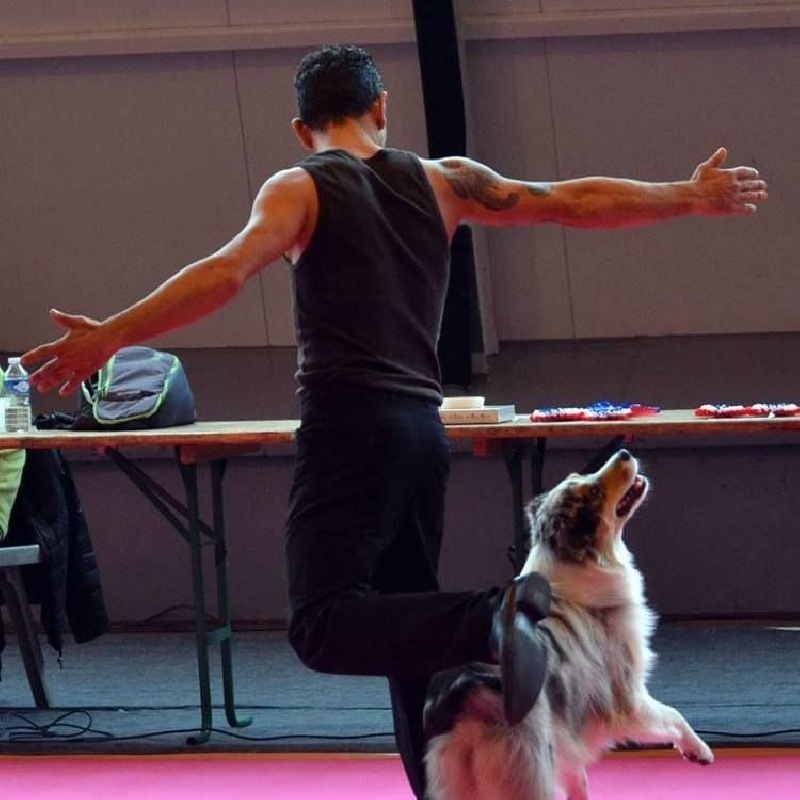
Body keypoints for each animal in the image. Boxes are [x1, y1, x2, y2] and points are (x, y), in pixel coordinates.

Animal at [424, 449, 713, 800]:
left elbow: (578, 777)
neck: (571, 559)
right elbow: (674, 714)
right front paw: (699, 750)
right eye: (595, 493)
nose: (624, 453)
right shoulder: (627, 698)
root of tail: (463, 694)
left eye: (579, 475)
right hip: (528, 770)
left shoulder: (564, 733)